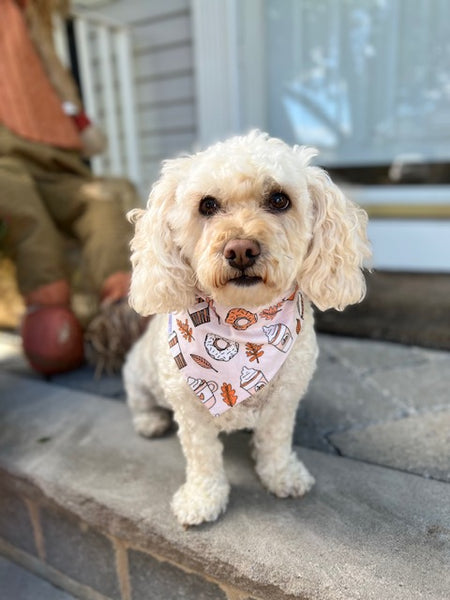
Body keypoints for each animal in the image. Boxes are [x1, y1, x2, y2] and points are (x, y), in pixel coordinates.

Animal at [123, 131, 370, 524]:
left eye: (280, 199)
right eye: (207, 205)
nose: (240, 249)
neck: (243, 320)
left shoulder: (285, 399)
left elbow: (276, 442)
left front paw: (282, 475)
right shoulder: (190, 410)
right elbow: (203, 457)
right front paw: (202, 498)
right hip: (136, 373)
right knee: (140, 402)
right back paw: (149, 422)